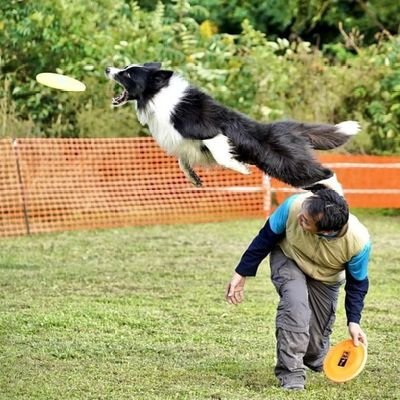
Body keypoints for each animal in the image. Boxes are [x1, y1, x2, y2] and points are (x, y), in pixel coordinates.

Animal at [104, 62, 358, 192]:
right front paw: (193, 178)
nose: (107, 68)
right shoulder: (182, 143)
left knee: (325, 173)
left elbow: (220, 153)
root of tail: (290, 128)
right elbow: (182, 160)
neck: (158, 96)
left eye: (128, 73)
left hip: (284, 163)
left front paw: (240, 168)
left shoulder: (209, 132)